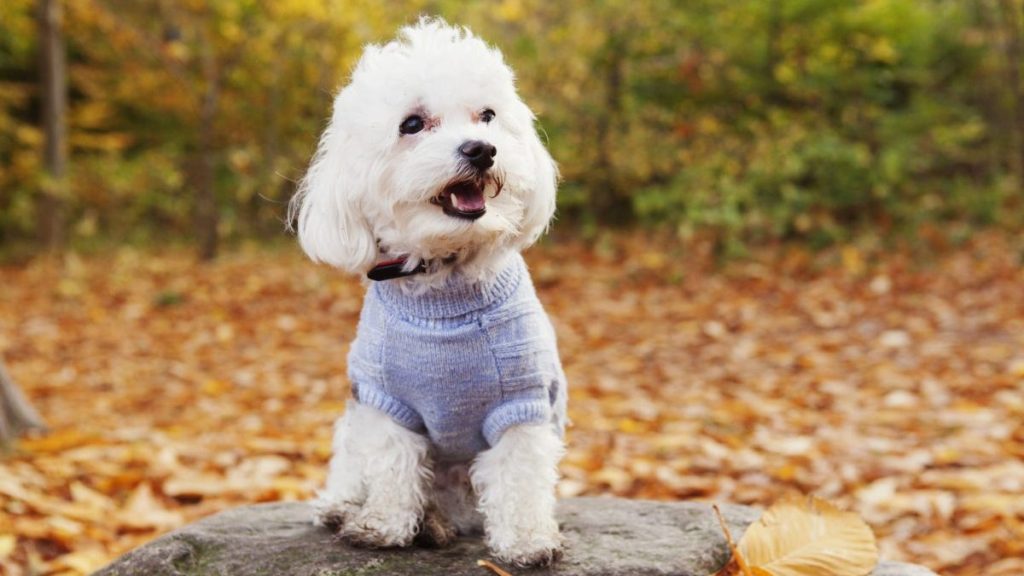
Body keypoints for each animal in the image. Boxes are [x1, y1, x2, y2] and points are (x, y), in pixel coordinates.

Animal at [290, 17, 569, 565]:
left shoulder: (522, 401)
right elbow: (392, 466)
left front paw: (527, 540)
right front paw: (382, 526)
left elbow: (519, 473)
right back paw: (350, 509)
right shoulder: (385, 401)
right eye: (413, 125)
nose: (482, 149)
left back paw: (437, 524)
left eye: (488, 117)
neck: (447, 279)